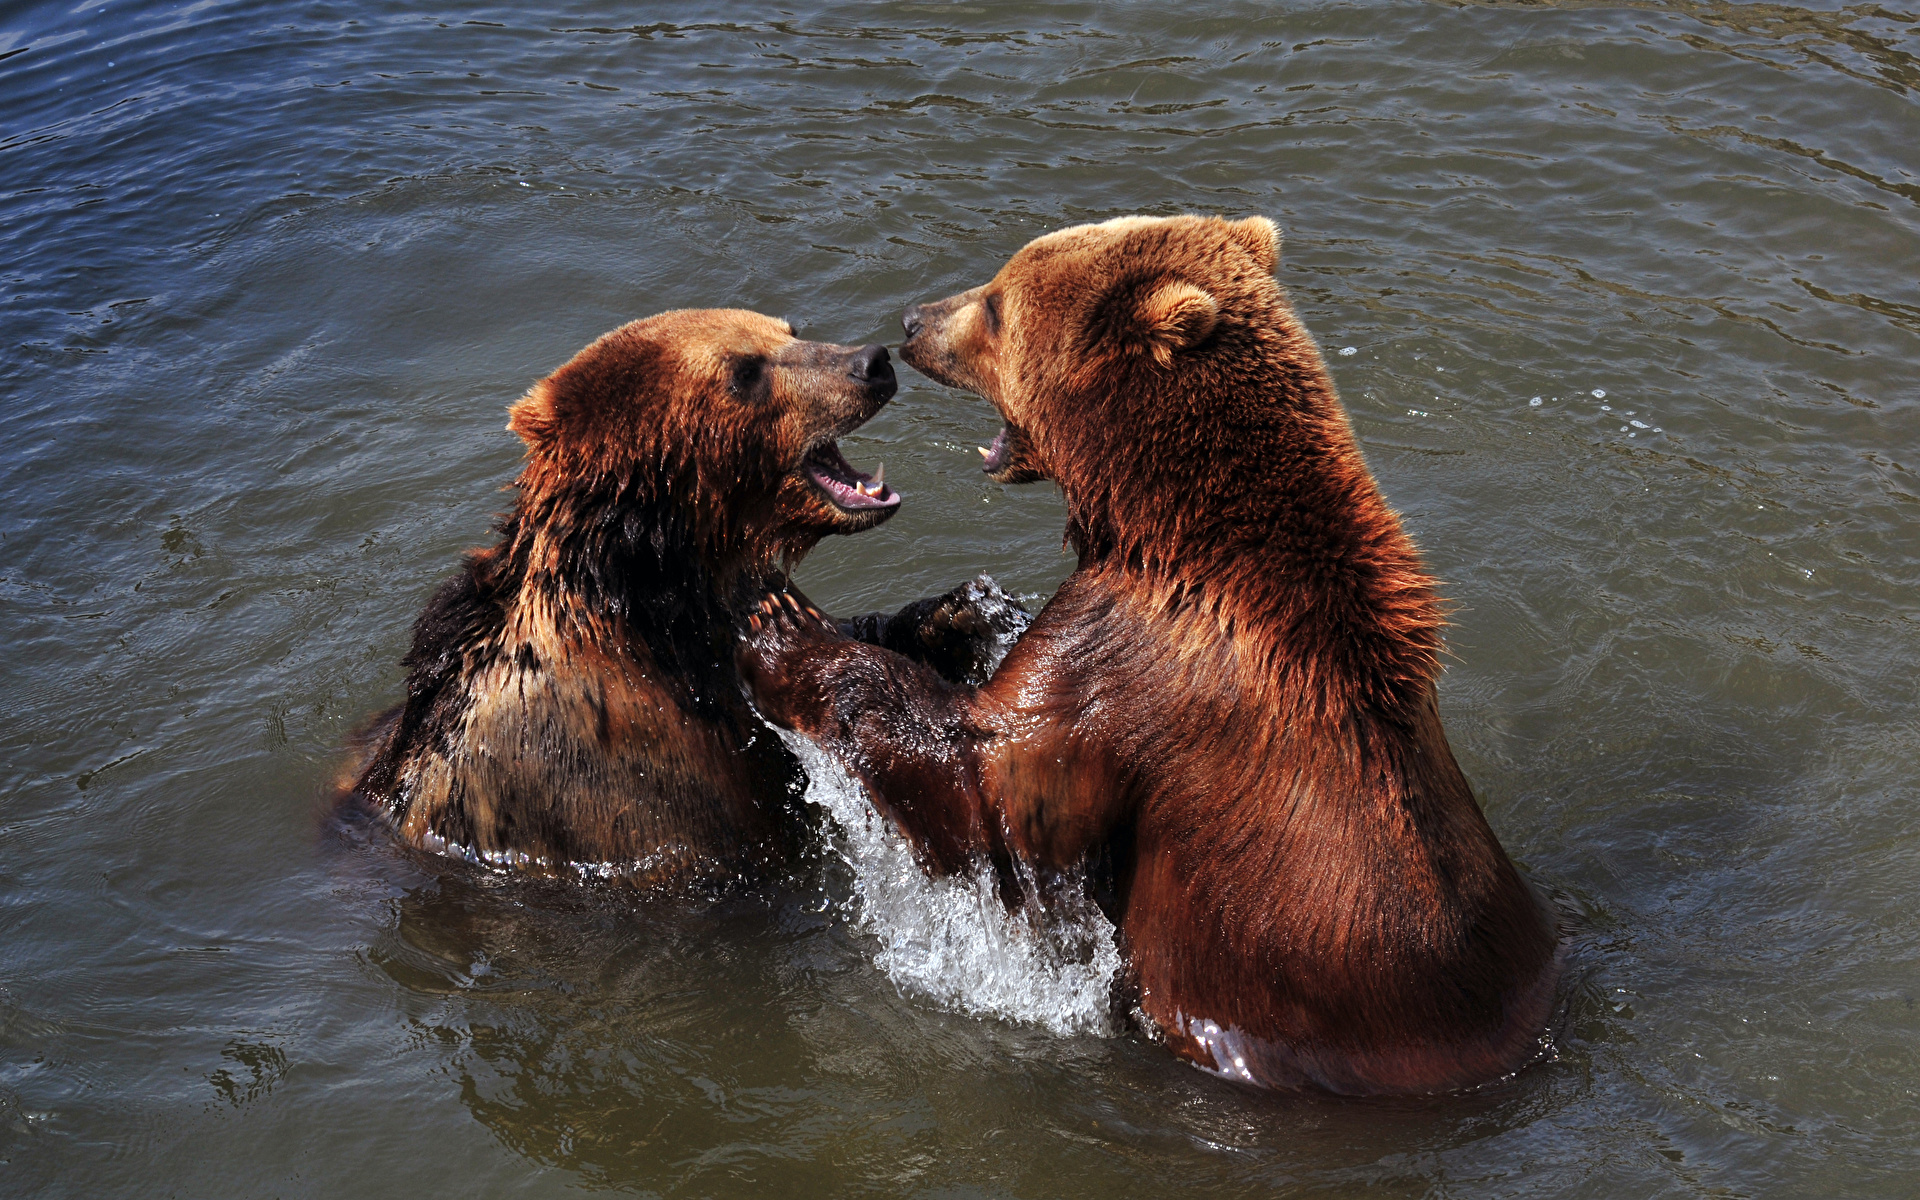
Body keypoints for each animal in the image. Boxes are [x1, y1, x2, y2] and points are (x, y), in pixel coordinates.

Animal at [345, 309, 1036, 890]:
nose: (871, 361)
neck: (655, 605)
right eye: (745, 371)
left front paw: (961, 615)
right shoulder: (630, 768)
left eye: (786, 329)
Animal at [741, 217, 1566, 1098]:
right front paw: (967, 611)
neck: (1167, 531)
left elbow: (989, 791)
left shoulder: (1132, 669)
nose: (912, 319)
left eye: (996, 304)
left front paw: (782, 626)